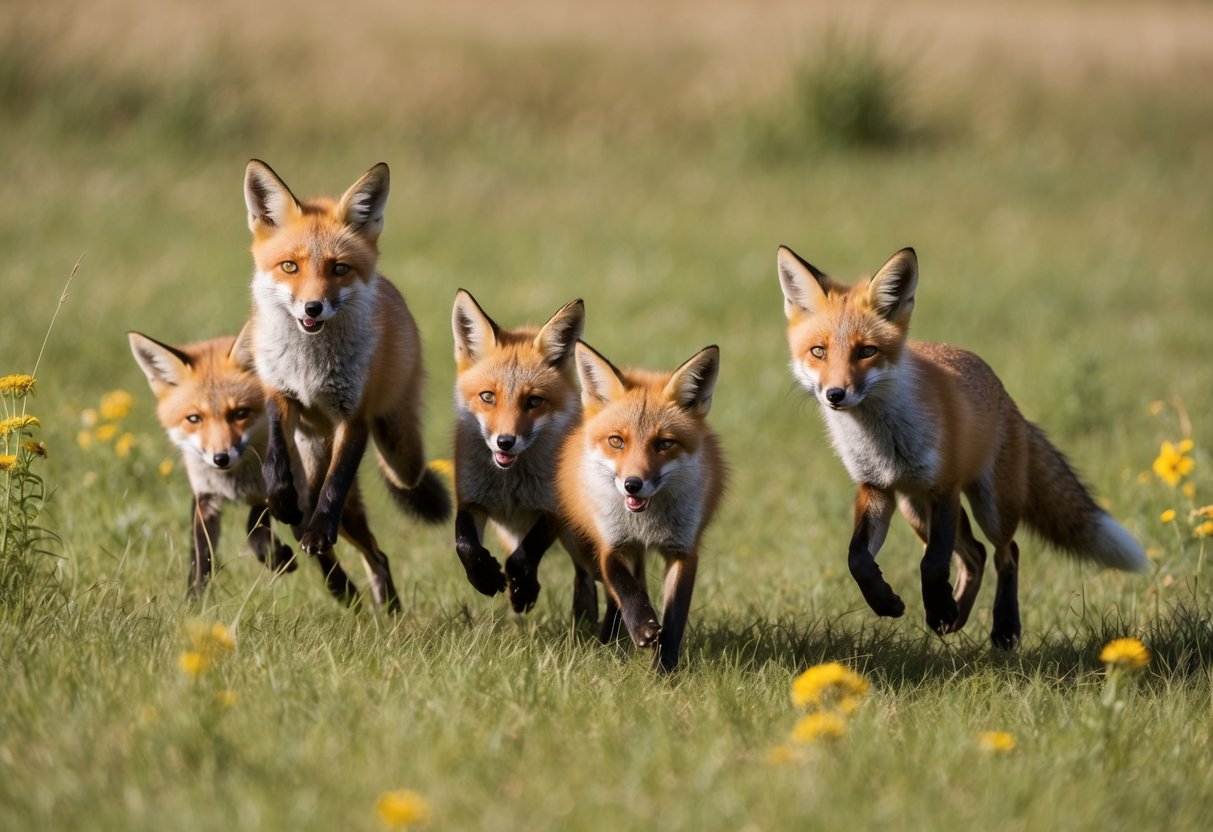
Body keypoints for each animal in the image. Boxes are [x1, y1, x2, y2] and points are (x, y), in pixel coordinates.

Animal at [240, 159, 451, 611]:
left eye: (339, 268)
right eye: (290, 266)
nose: (313, 308)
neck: (310, 369)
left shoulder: (354, 417)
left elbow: (334, 486)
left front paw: (319, 531)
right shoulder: (279, 393)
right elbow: (275, 459)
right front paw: (280, 497)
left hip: (398, 450)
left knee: (380, 533)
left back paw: (386, 603)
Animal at [451, 290, 598, 618]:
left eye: (533, 401)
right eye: (488, 397)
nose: (505, 442)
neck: (510, 487)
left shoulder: (554, 510)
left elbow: (521, 559)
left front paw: (522, 590)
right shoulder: (472, 500)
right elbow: (464, 545)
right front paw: (485, 577)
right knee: (586, 579)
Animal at [557, 342, 726, 672]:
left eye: (664, 444)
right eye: (616, 441)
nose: (632, 484)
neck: (646, 524)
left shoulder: (683, 550)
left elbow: (674, 618)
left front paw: (665, 671)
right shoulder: (611, 544)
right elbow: (625, 588)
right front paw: (642, 627)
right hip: (586, 549)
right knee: (616, 594)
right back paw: (608, 644)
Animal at [776, 244, 1147, 648]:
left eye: (866, 351)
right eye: (818, 351)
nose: (835, 395)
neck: (884, 441)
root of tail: (1008, 399)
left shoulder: (945, 487)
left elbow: (932, 563)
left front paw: (938, 607)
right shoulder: (875, 488)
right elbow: (858, 560)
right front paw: (889, 602)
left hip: (992, 506)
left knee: (1005, 552)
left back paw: (1003, 628)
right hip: (915, 509)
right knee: (975, 555)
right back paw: (957, 616)